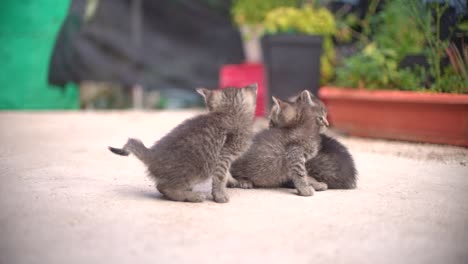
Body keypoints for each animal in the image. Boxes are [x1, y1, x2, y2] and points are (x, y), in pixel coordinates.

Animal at [108, 83, 258, 203]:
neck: (229, 112)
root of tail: (151, 154)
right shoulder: (224, 155)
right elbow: (220, 177)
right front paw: (220, 196)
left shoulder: (224, 158)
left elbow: (227, 174)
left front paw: (236, 181)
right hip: (196, 170)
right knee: (163, 187)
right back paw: (192, 196)